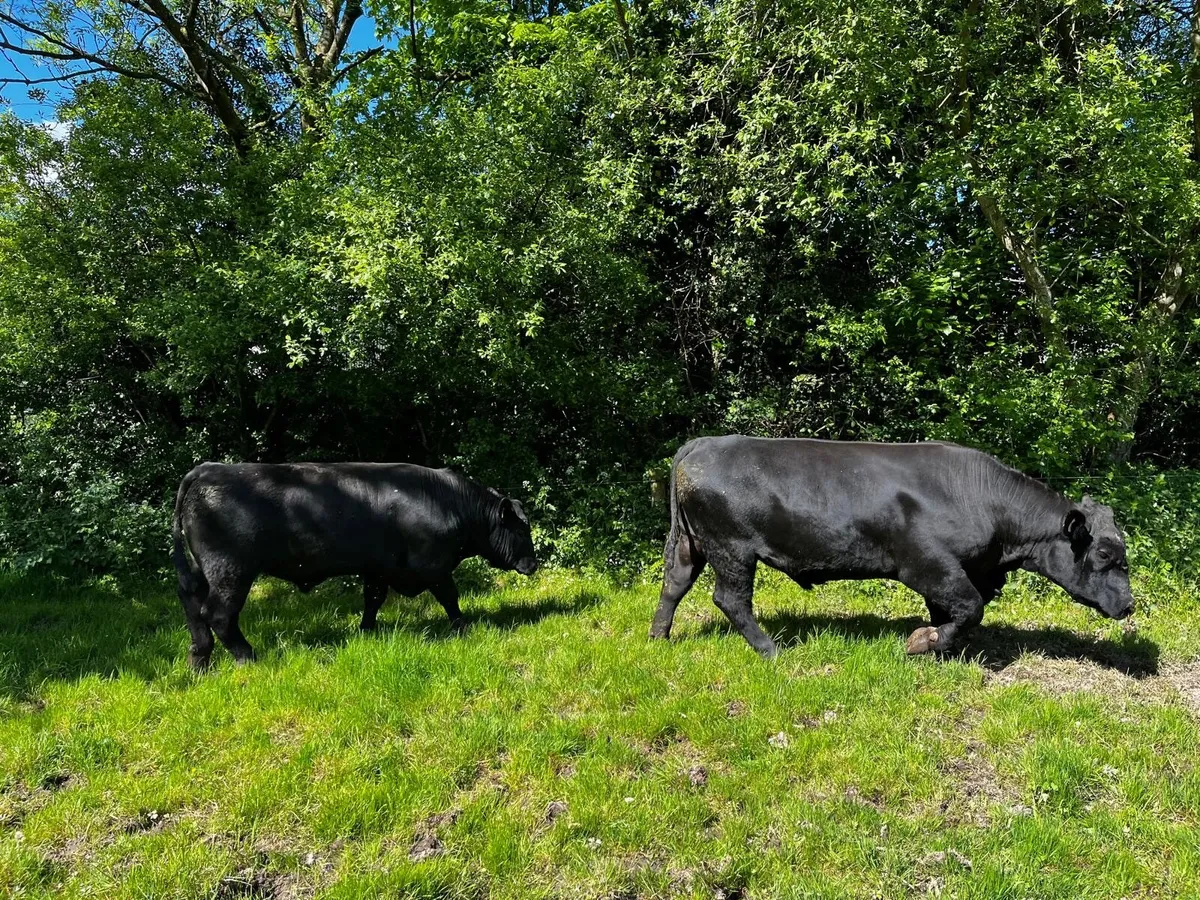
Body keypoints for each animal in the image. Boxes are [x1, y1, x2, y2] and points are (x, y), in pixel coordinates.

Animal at [172, 461, 538, 669]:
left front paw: (366, 631)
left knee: (192, 605)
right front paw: (462, 627)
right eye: (522, 530)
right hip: (230, 571)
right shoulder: (435, 565)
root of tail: (208, 469)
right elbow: (450, 596)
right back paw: (247, 657)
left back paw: (199, 661)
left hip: (202, 571)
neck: (449, 501)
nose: (534, 564)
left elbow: (373, 599)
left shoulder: (377, 567)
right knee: (218, 614)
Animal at [649, 436, 1134, 658]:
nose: (1130, 605)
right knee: (730, 598)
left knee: (673, 584)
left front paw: (942, 646)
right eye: (1104, 555)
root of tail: (704, 442)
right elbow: (970, 607)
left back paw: (659, 638)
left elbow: (954, 611)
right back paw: (771, 649)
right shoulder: (927, 564)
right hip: (732, 548)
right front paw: (922, 642)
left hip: (690, 543)